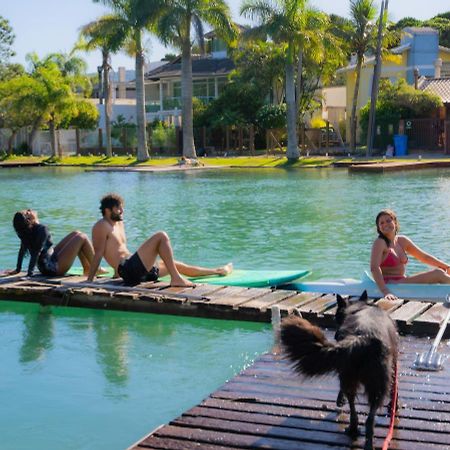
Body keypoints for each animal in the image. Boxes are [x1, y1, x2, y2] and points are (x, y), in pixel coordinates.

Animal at [280, 292, 400, 450]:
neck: (358, 308)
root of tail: (361, 337)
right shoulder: (394, 365)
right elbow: (394, 389)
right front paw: (394, 405)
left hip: (354, 378)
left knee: (357, 412)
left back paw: (354, 430)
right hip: (373, 384)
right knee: (365, 415)